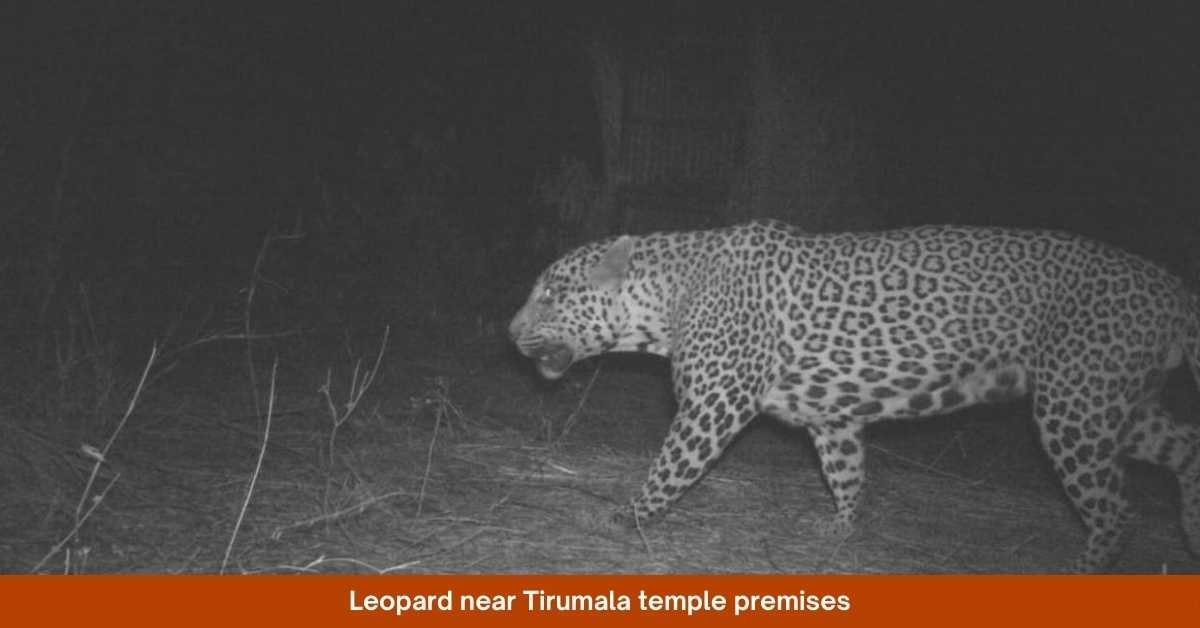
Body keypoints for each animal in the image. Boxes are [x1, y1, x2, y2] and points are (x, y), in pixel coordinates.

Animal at [508, 219, 1200, 572]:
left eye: (552, 293)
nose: (510, 332)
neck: (663, 298)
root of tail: (1171, 287)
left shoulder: (713, 404)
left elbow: (668, 468)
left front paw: (624, 518)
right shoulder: (831, 418)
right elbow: (847, 475)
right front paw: (837, 533)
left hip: (1075, 406)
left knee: (1115, 511)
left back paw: (1084, 572)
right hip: (1116, 405)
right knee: (1186, 449)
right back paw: (1192, 533)